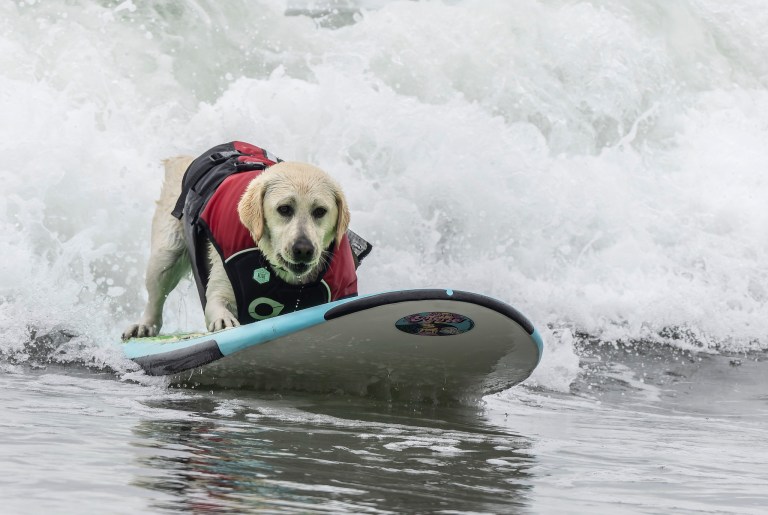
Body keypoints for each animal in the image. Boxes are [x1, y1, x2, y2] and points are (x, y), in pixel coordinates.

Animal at [123, 143, 366, 340]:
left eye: (320, 211)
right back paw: (143, 326)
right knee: (157, 291)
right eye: (284, 209)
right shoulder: (222, 276)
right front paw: (224, 321)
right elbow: (216, 301)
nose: (303, 249)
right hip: (165, 255)